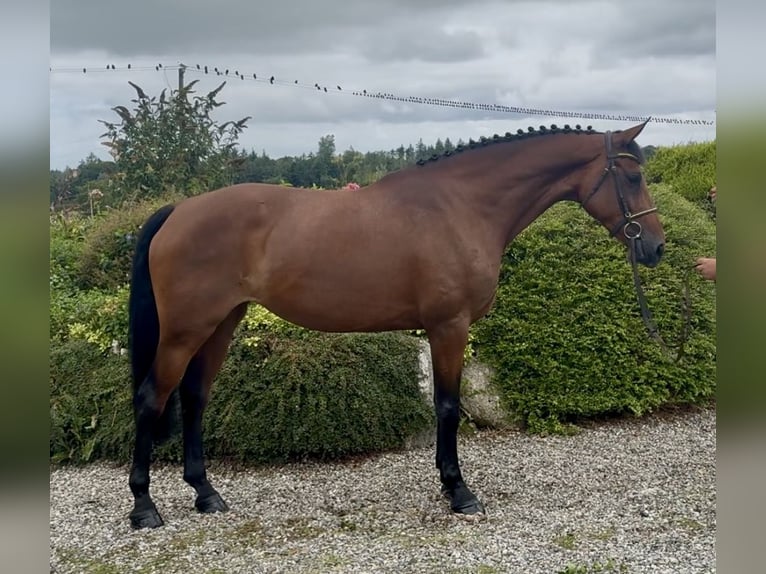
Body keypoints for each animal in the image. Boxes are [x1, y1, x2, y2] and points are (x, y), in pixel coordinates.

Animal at [126, 120, 665, 529]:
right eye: (631, 177)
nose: (656, 247)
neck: (461, 206)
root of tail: (178, 211)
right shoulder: (449, 326)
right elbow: (447, 406)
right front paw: (459, 491)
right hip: (185, 331)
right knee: (152, 398)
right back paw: (144, 507)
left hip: (221, 323)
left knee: (195, 397)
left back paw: (206, 494)